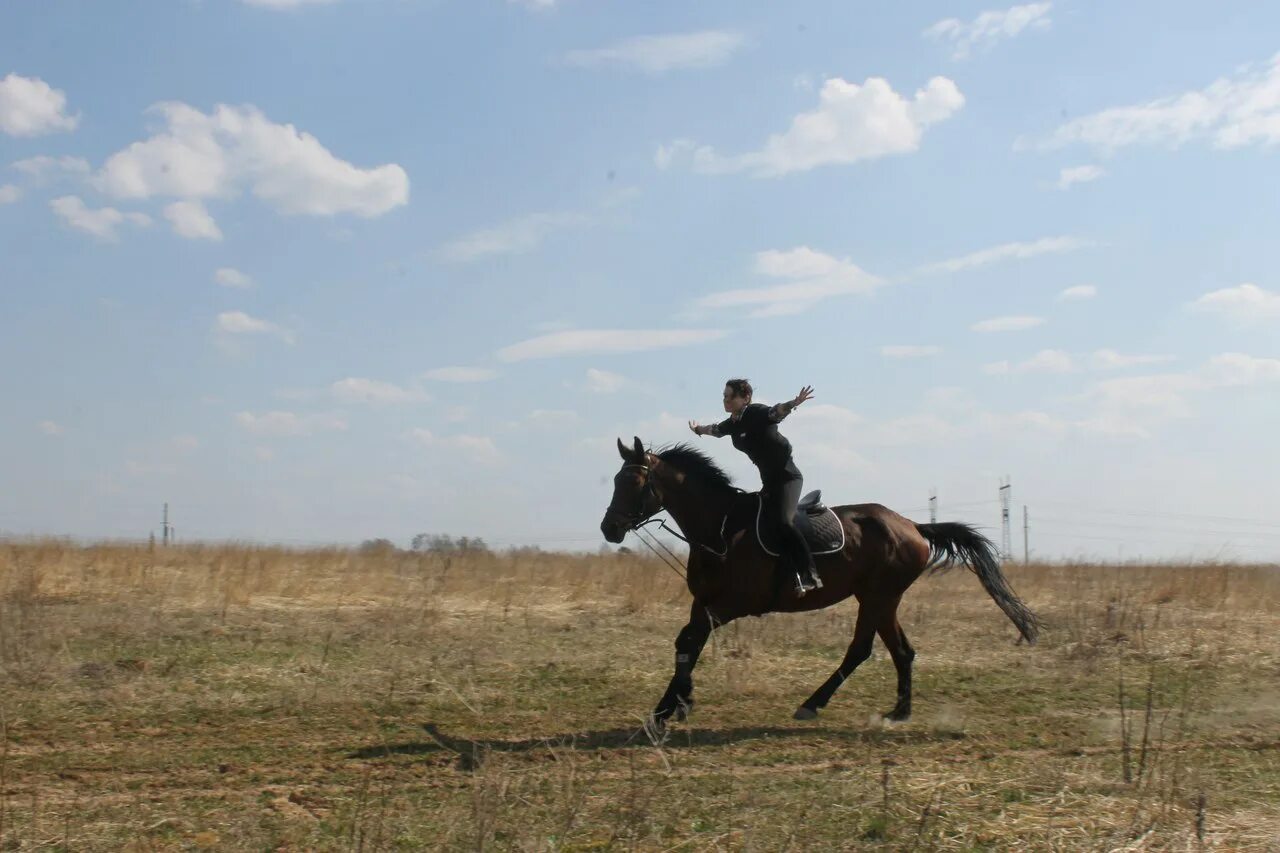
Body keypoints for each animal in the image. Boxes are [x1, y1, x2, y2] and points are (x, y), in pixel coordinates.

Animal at [599, 438, 1039, 722]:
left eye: (633, 483)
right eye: (615, 481)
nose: (609, 528)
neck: (721, 528)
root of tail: (912, 526)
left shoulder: (734, 604)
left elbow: (691, 642)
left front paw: (666, 708)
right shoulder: (703, 601)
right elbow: (686, 643)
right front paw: (679, 702)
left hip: (878, 596)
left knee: (861, 649)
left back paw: (813, 704)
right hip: (879, 598)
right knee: (901, 650)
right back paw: (899, 711)